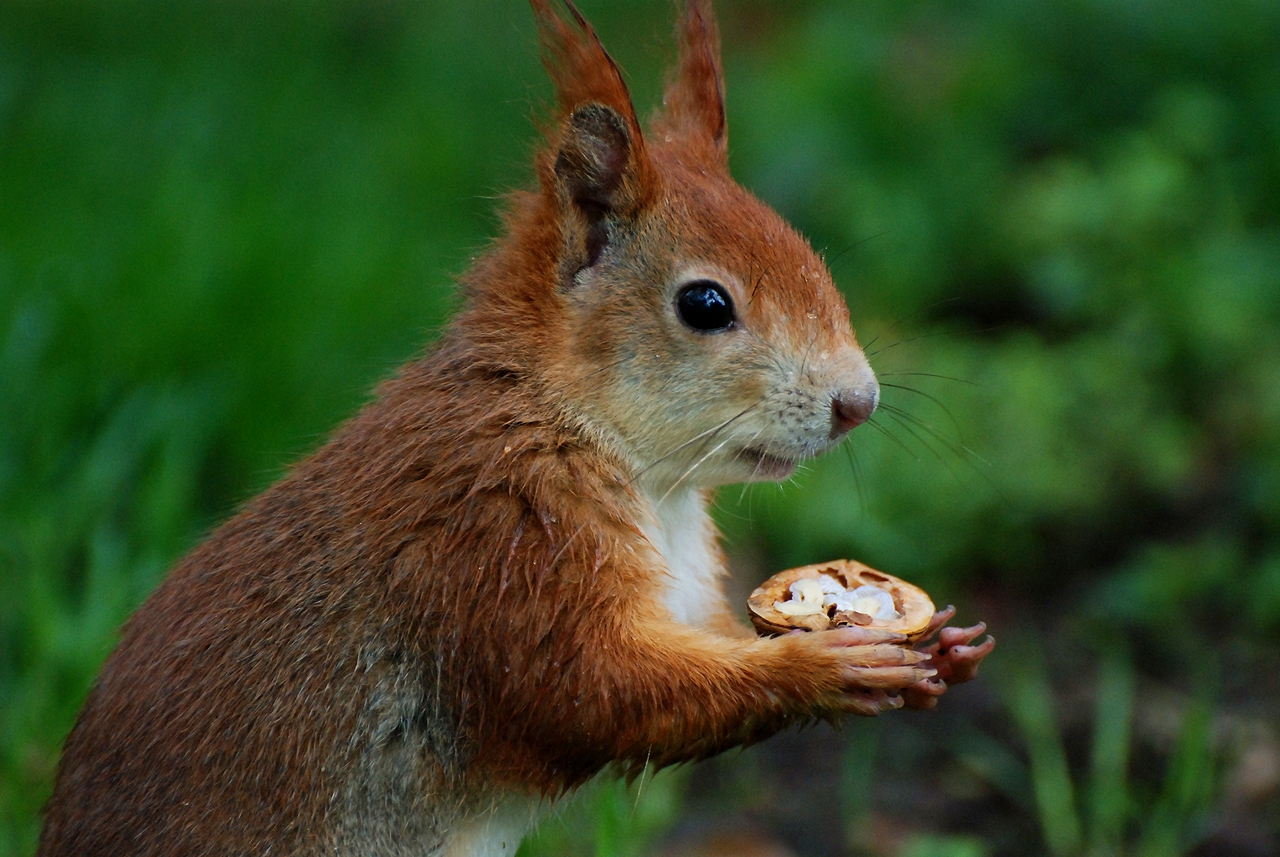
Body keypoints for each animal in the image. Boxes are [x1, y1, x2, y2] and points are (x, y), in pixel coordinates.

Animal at [40, 1, 993, 857]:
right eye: (705, 304)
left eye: (808, 251)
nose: (859, 401)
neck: (634, 467)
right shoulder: (494, 539)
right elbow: (588, 688)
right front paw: (826, 668)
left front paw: (941, 646)